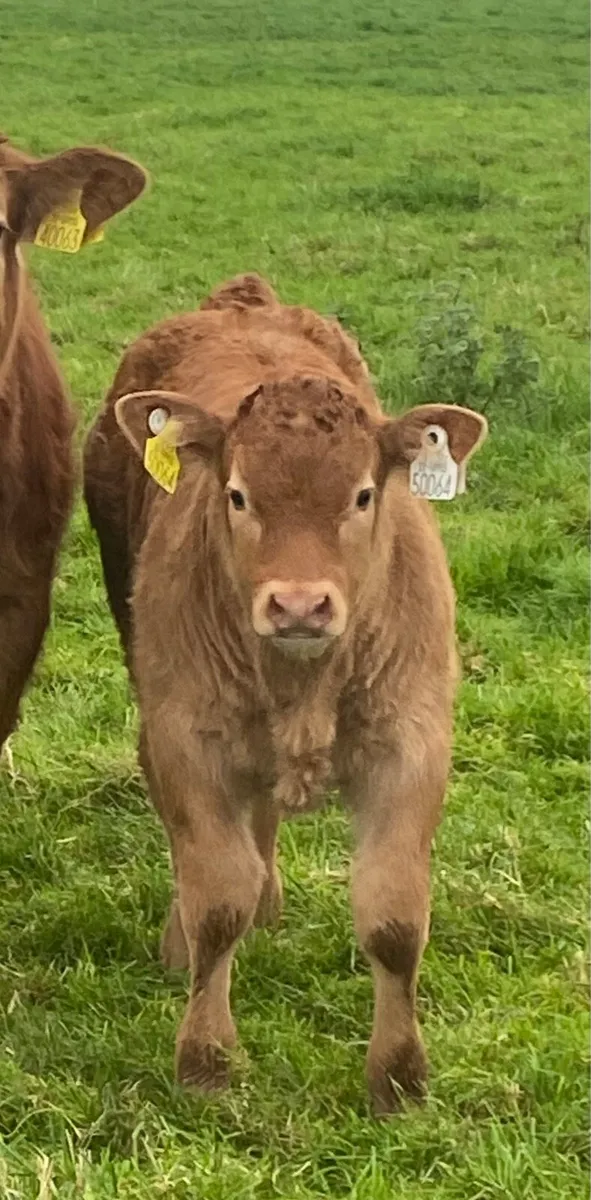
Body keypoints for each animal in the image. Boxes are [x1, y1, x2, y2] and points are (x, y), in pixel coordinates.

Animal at [83, 273, 487, 1115]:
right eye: (237, 495)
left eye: (363, 495)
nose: (299, 605)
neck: (303, 684)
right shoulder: (186, 736)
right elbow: (216, 899)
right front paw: (206, 1059)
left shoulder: (412, 741)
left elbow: (394, 914)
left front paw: (399, 1078)